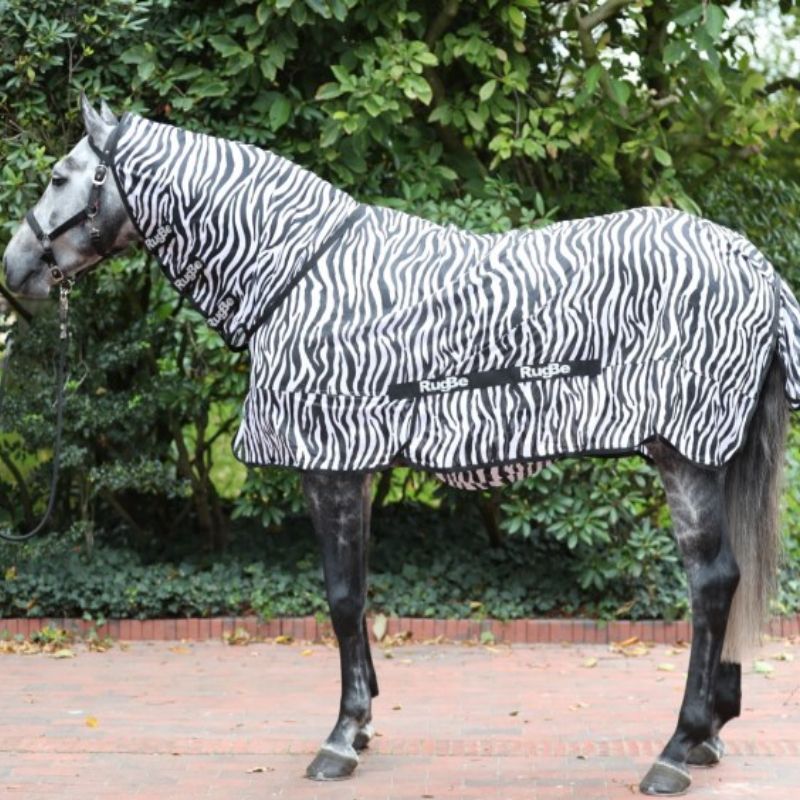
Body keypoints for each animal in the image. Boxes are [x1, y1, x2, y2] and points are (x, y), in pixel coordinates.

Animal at [4, 95, 800, 796]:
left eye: (59, 175)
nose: (14, 271)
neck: (299, 274)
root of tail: (754, 265)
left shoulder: (327, 465)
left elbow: (341, 596)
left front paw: (339, 738)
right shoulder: (352, 467)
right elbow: (356, 592)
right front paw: (360, 725)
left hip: (683, 457)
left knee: (711, 583)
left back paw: (674, 749)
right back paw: (706, 737)